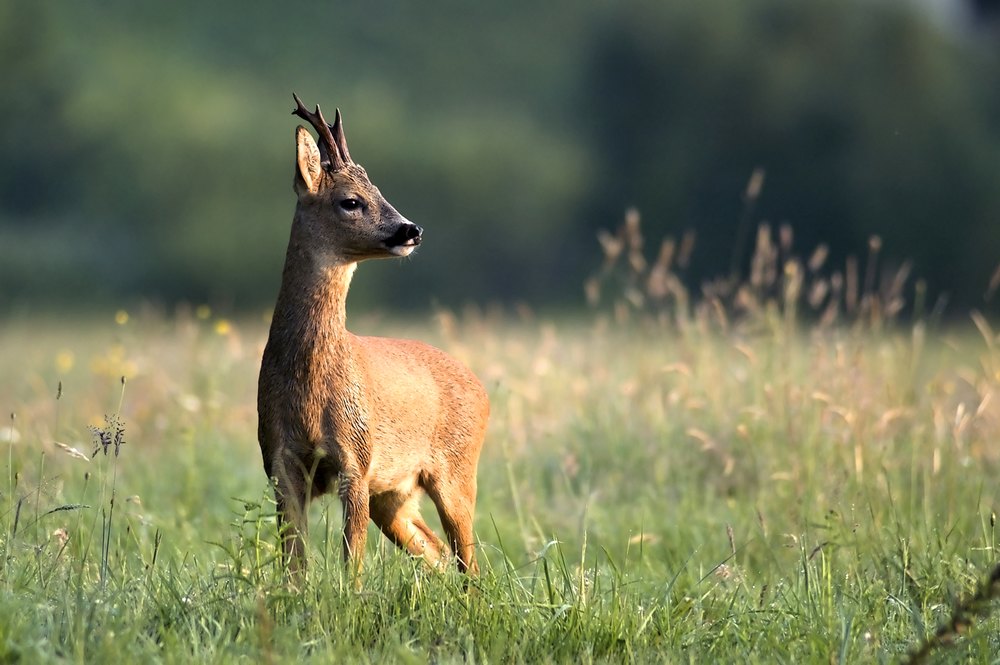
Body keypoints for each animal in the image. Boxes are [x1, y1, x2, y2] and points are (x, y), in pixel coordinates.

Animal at [260, 94, 490, 576]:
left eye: (381, 191)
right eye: (350, 201)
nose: (411, 229)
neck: (310, 384)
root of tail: (483, 390)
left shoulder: (358, 459)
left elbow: (353, 561)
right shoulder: (280, 462)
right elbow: (294, 566)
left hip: (457, 471)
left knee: (469, 562)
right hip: (396, 493)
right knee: (438, 554)